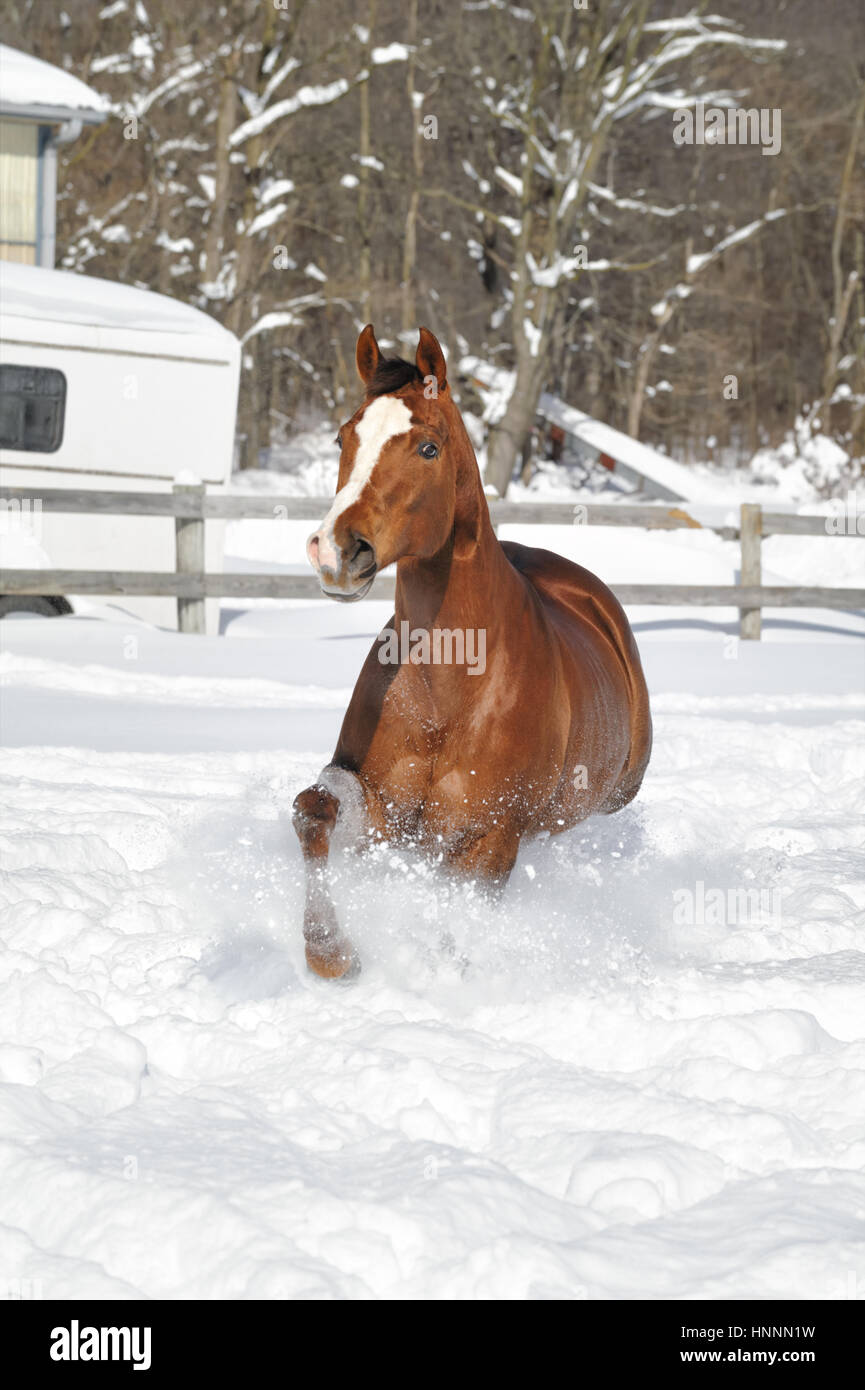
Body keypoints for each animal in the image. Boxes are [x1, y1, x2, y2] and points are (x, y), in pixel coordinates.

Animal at [292, 325, 650, 978]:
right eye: (343, 436)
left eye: (428, 447)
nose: (335, 550)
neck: (451, 691)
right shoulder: (383, 813)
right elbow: (313, 810)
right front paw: (331, 954)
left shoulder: (490, 839)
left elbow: (454, 926)